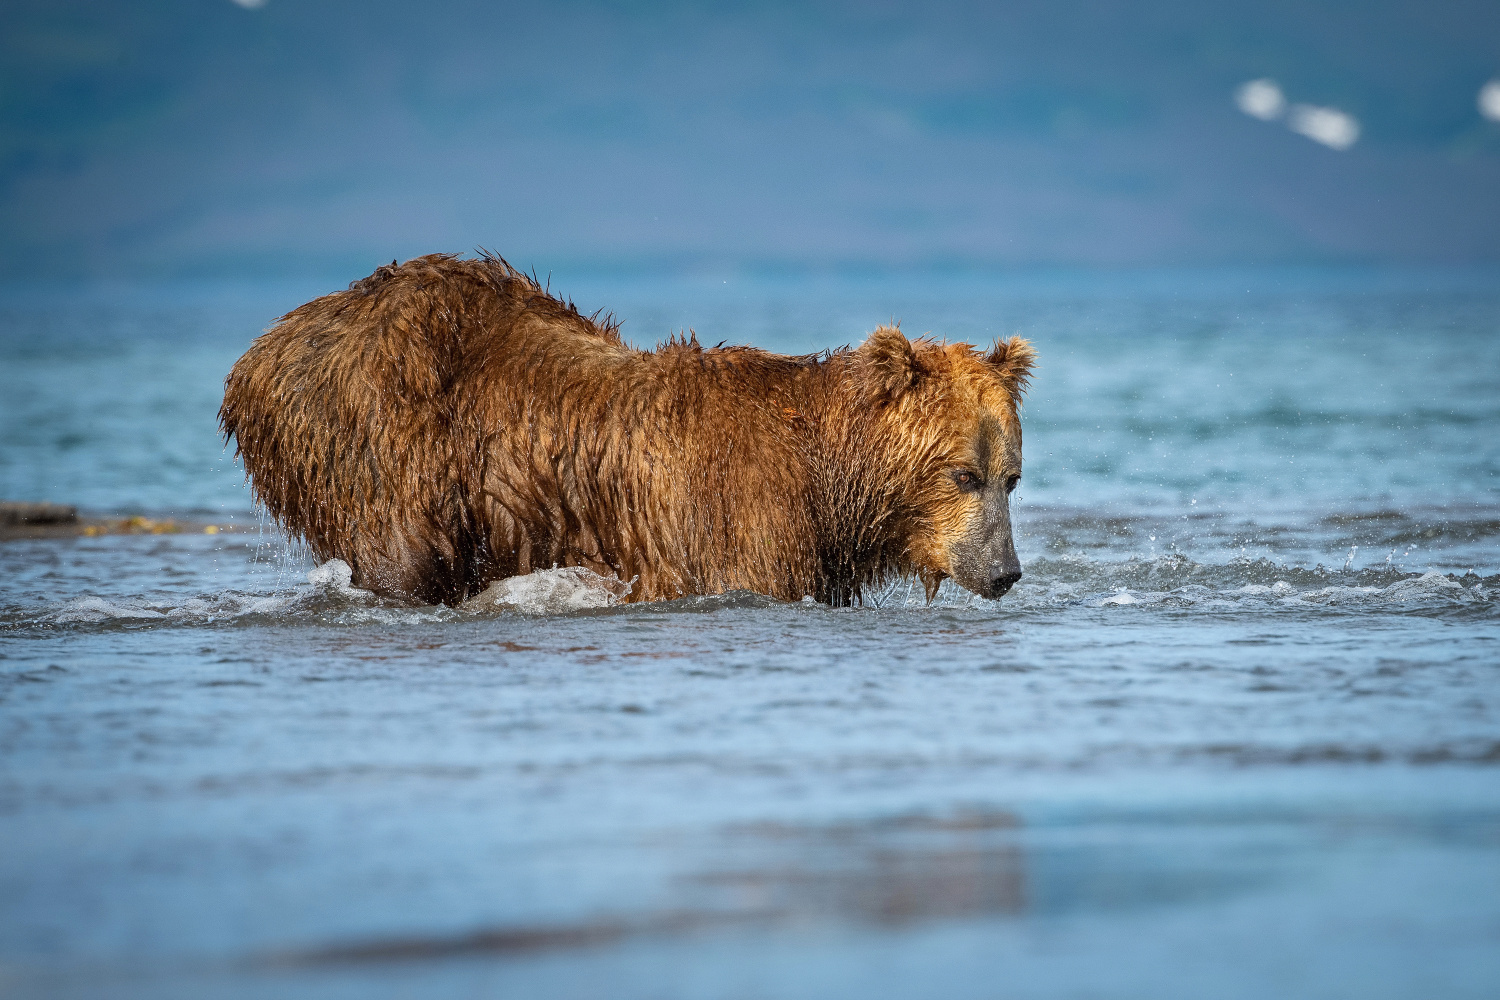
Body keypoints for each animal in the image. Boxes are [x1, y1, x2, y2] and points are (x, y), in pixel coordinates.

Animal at [219, 254, 1032, 605]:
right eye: (964, 474)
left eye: (1011, 477)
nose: (1003, 571)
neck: (832, 478)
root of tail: (261, 351)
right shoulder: (740, 521)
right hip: (382, 439)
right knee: (402, 558)